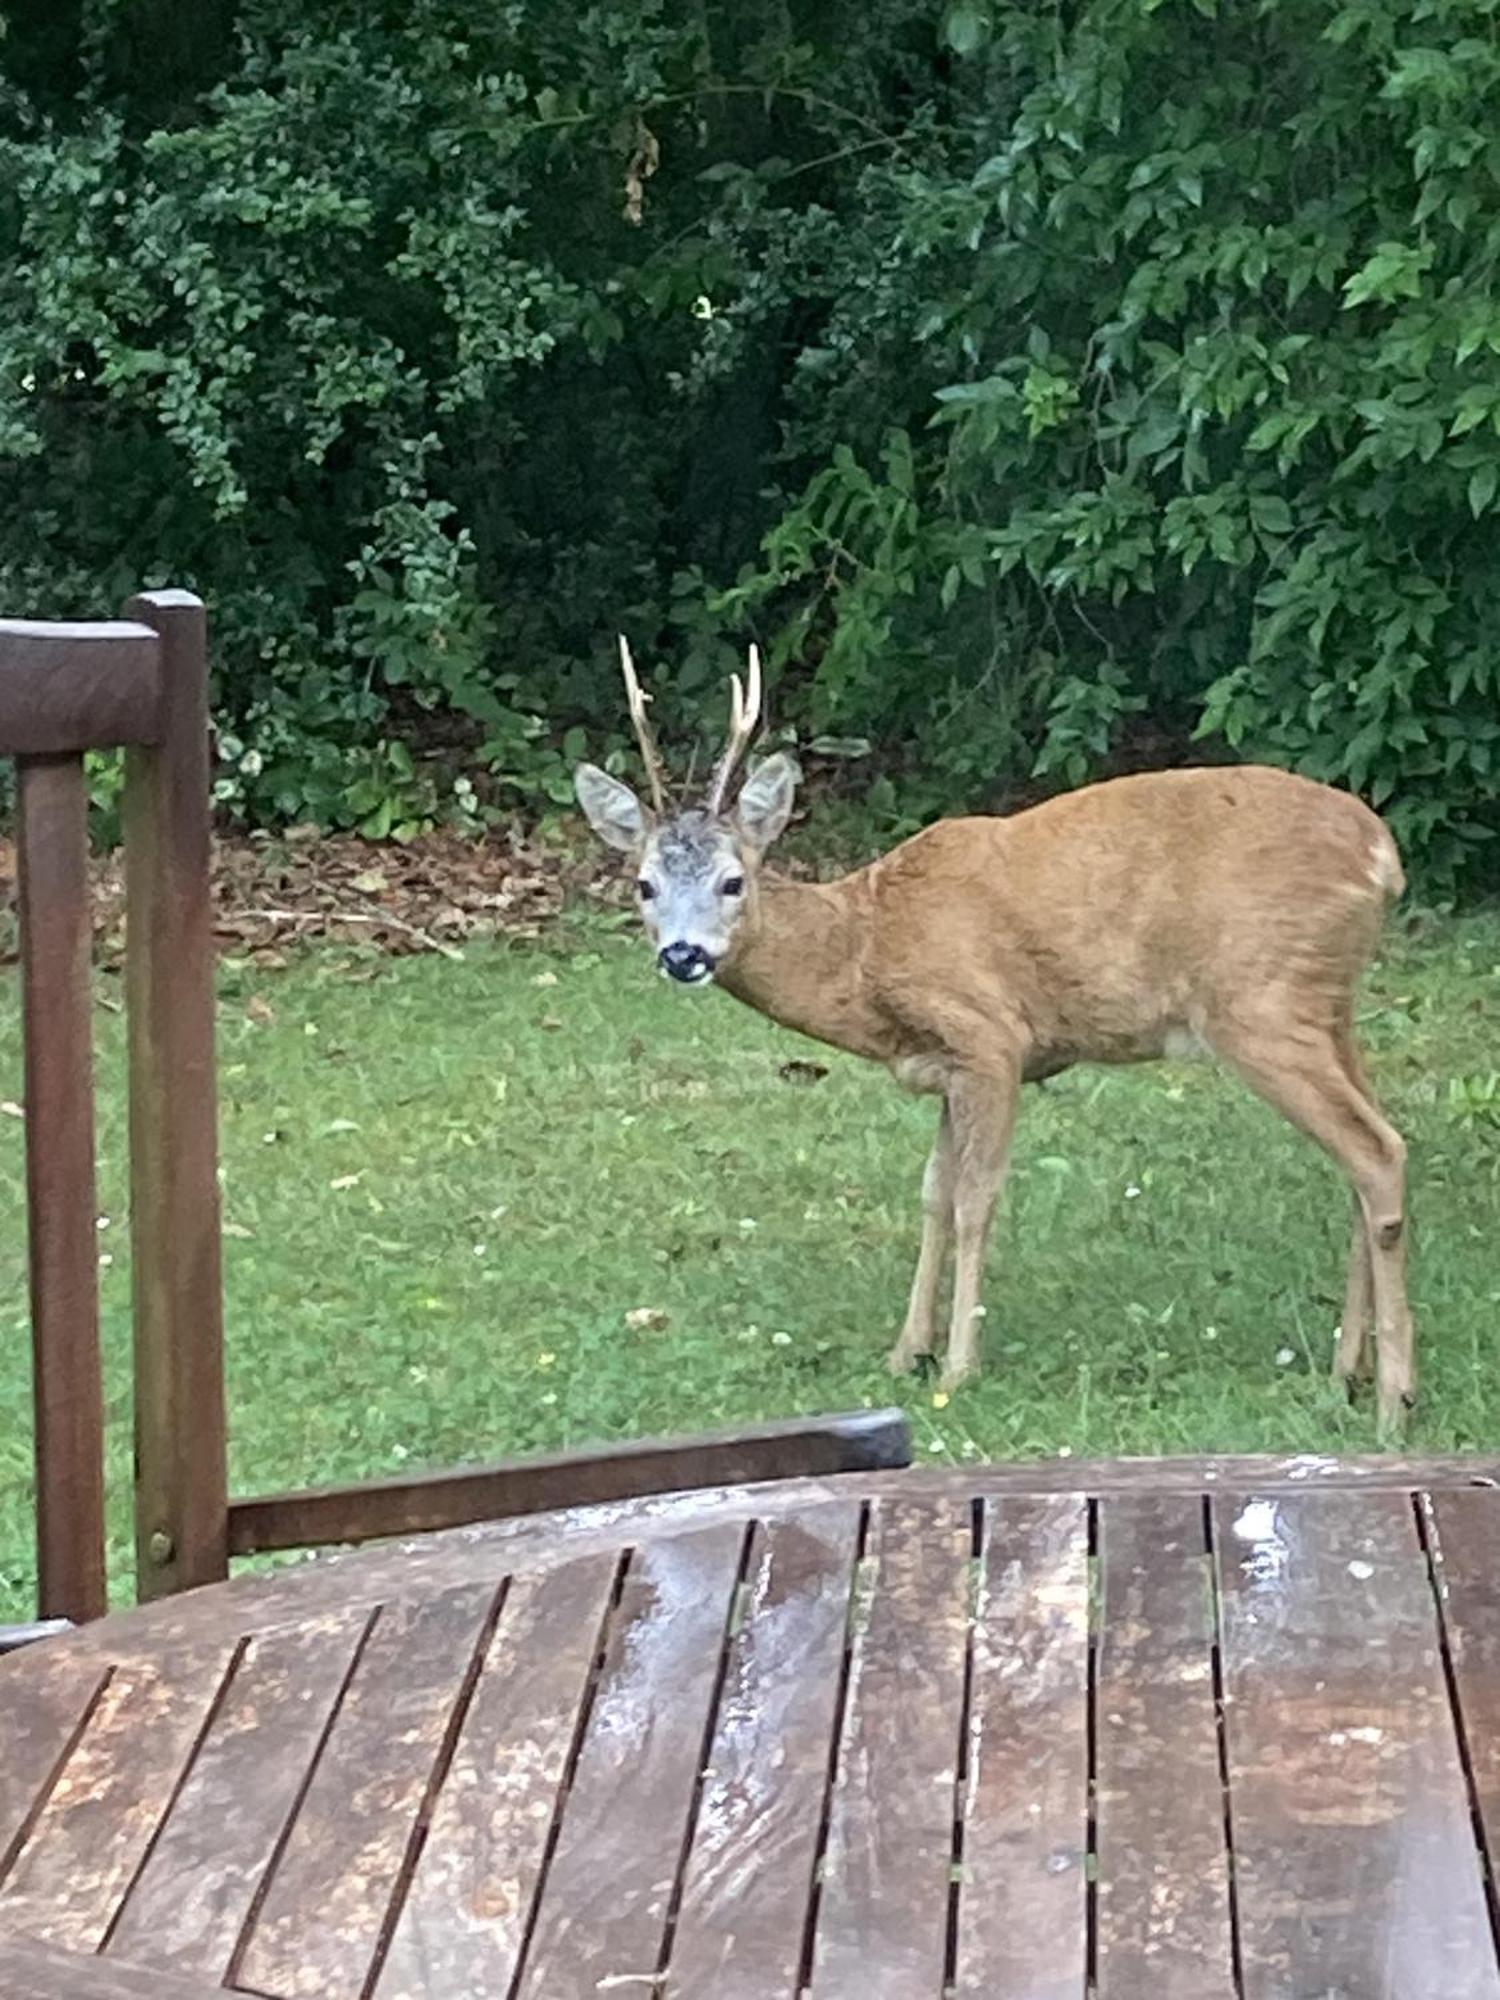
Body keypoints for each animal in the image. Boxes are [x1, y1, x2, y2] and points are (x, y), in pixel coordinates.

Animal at [568, 636, 1416, 1424]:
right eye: (643, 885)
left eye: (732, 881)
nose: (683, 955)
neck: (866, 947)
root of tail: (1382, 854)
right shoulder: (944, 1068)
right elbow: (933, 1194)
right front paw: (906, 1352)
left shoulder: (989, 1038)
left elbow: (977, 1197)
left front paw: (957, 1366)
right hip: (1324, 1003)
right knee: (1372, 1150)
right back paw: (1346, 1374)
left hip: (1260, 1000)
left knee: (1375, 1151)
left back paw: (1393, 1396)